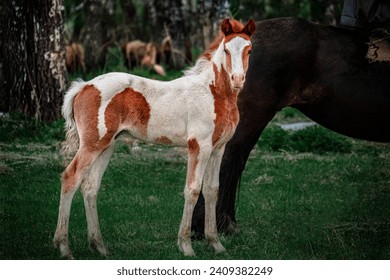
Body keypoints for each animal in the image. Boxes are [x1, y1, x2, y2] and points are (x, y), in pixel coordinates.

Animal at [54, 18, 256, 258]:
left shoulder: (218, 149)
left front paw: (216, 244)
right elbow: (192, 190)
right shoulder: (199, 146)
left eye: (249, 50)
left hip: (107, 146)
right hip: (92, 145)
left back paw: (100, 246)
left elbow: (212, 190)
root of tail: (83, 86)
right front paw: (186, 246)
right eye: (226, 49)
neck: (213, 93)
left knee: (90, 186)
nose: (238, 80)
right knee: (70, 178)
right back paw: (64, 248)